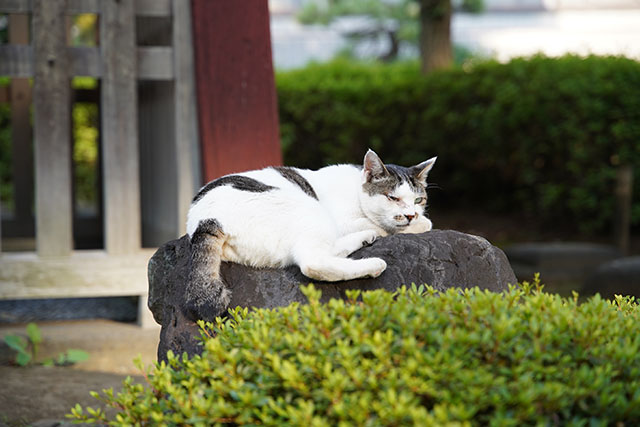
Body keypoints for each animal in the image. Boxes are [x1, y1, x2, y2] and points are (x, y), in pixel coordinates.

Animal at [185, 149, 436, 320]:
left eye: (418, 200)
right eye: (392, 198)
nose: (411, 214)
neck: (356, 190)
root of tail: (205, 219)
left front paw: (417, 220)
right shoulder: (344, 221)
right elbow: (394, 225)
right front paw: (416, 224)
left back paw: (365, 238)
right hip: (311, 210)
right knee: (313, 262)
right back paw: (373, 263)